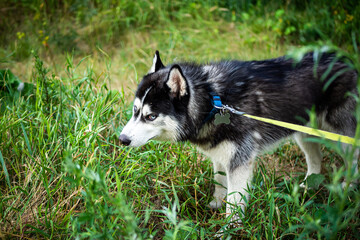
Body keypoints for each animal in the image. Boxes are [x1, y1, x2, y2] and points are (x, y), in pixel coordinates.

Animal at [119, 51, 358, 223]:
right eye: (135, 110)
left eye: (150, 116)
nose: (122, 139)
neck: (213, 102)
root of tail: (344, 58)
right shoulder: (220, 155)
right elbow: (219, 184)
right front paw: (215, 204)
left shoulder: (240, 161)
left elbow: (234, 204)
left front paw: (228, 230)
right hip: (304, 133)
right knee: (316, 160)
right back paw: (308, 186)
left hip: (339, 136)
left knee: (353, 158)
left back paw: (348, 188)